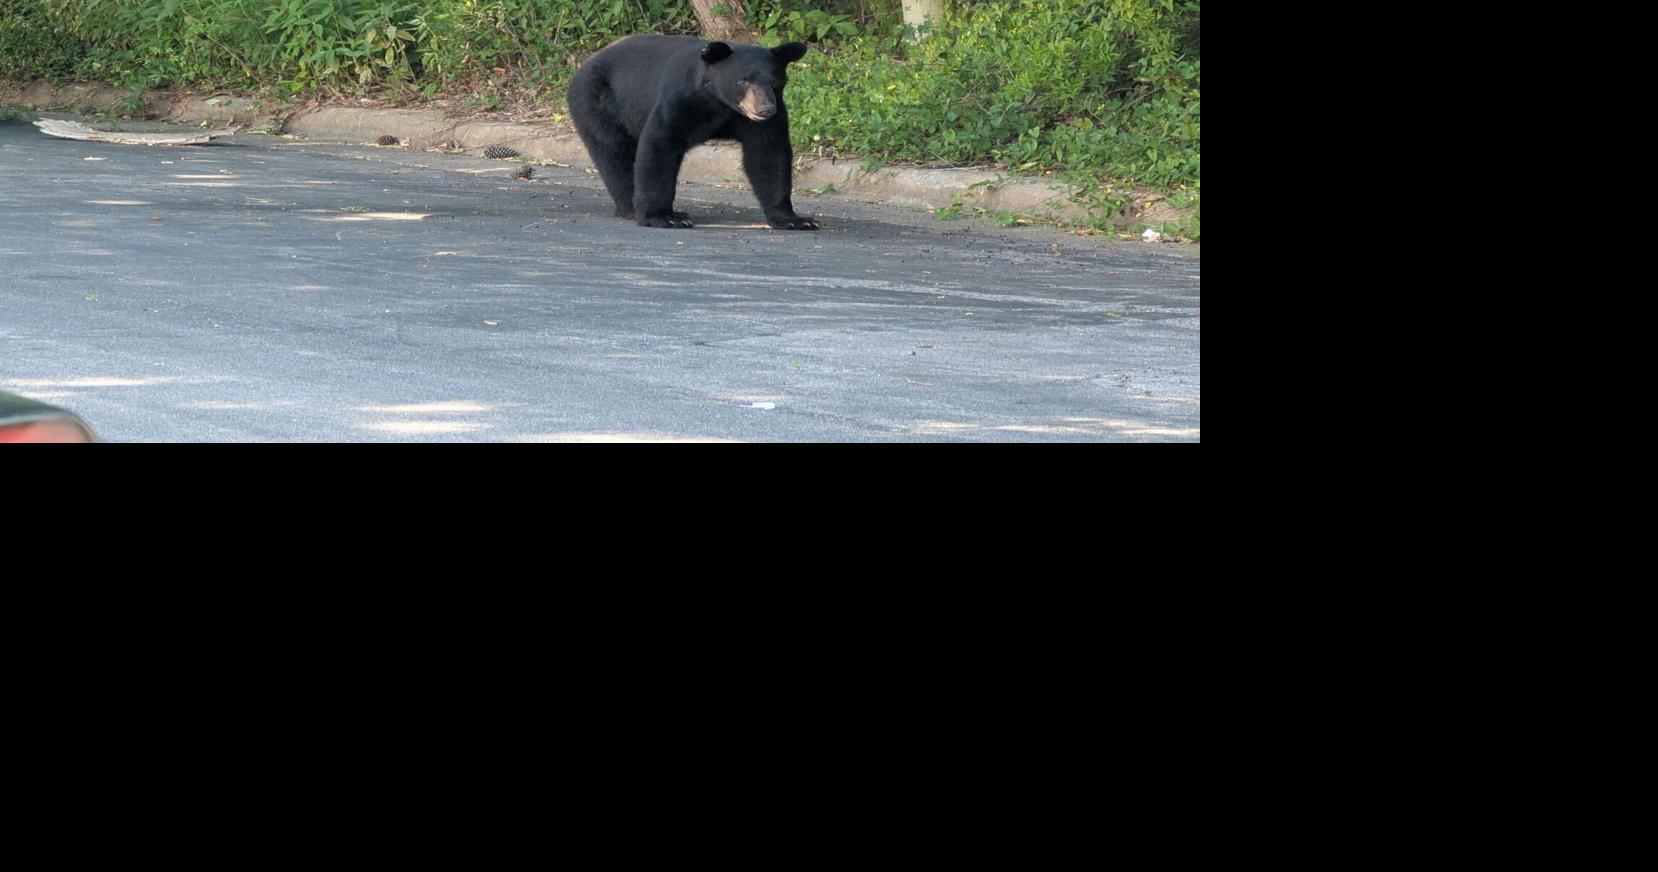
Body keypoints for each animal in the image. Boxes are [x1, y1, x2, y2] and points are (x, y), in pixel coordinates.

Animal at [567, 35, 819, 231]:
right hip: (598, 102)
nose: (765, 109)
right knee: (614, 153)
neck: (720, 103)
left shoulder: (763, 122)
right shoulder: (681, 100)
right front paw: (664, 217)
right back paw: (630, 206)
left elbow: (769, 155)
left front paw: (794, 219)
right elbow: (660, 145)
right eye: (742, 81)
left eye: (775, 81)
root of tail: (585, 63)